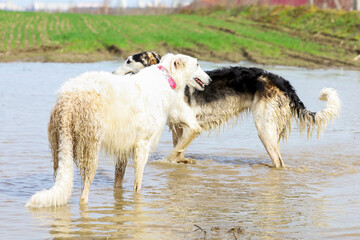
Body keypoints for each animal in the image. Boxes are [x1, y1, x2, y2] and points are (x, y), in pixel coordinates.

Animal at [26, 53, 211, 207]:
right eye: (197, 64)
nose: (209, 79)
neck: (166, 77)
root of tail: (68, 98)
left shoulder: (123, 149)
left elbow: (118, 182)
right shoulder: (142, 145)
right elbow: (138, 184)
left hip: (60, 145)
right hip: (89, 146)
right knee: (84, 194)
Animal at [113, 51, 340, 167]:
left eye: (129, 61)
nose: (113, 73)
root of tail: (281, 80)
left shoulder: (193, 126)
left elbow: (172, 155)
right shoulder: (179, 127)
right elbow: (179, 151)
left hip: (264, 129)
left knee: (279, 162)